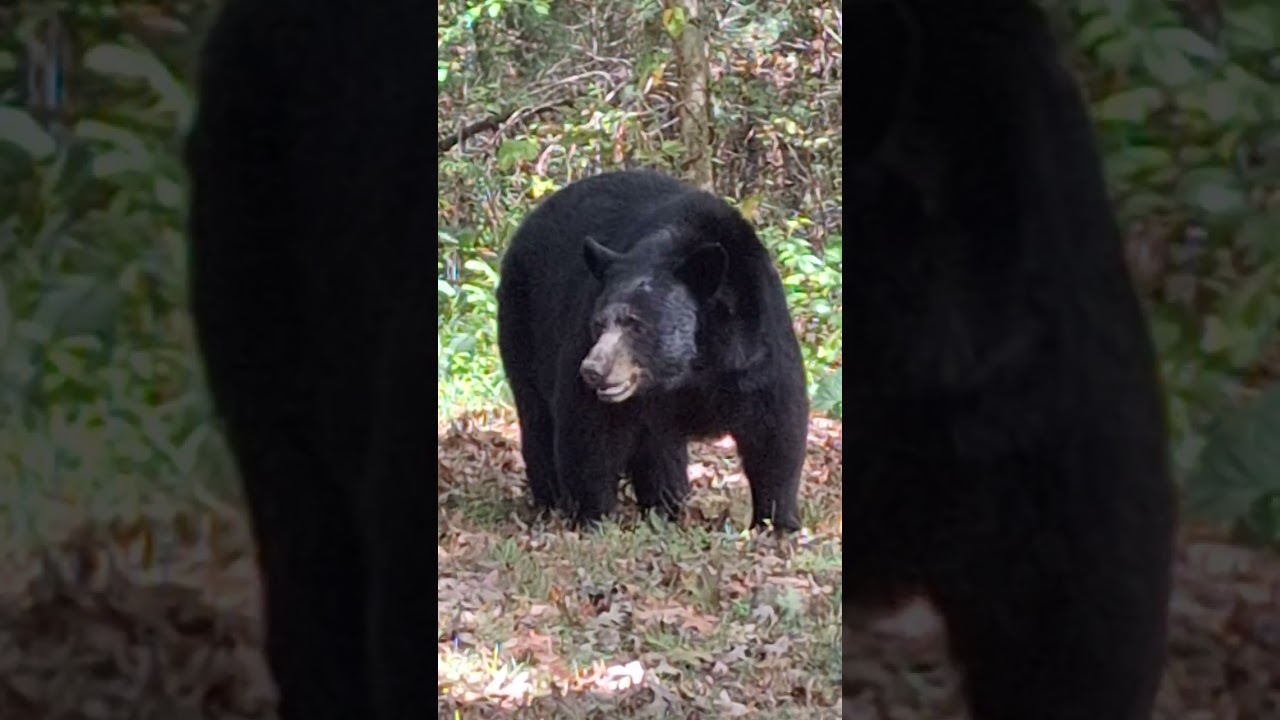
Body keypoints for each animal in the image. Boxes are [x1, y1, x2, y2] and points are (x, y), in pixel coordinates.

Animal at [496, 169, 810, 531]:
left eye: (636, 324)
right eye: (599, 322)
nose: (593, 369)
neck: (694, 367)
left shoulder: (756, 351)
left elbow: (776, 431)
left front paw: (778, 522)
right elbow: (589, 431)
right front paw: (593, 516)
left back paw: (666, 506)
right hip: (524, 321)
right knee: (538, 416)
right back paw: (552, 499)